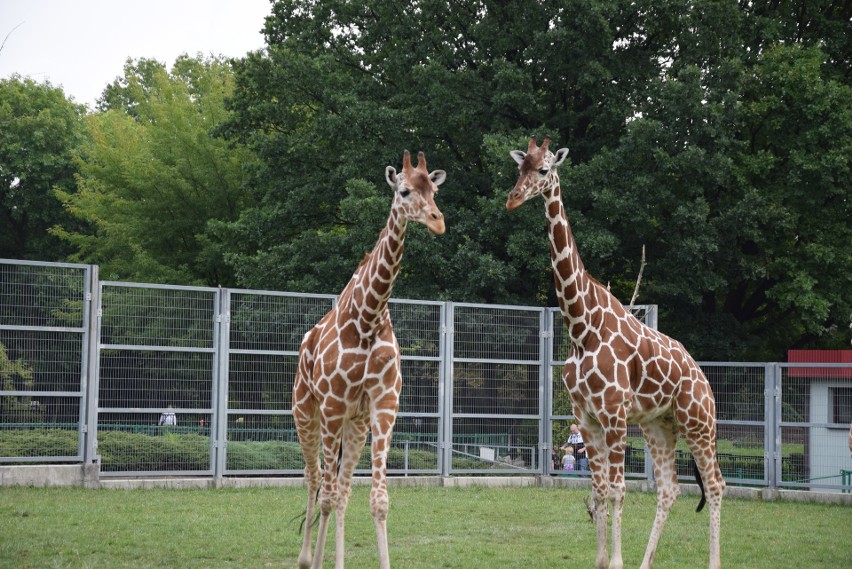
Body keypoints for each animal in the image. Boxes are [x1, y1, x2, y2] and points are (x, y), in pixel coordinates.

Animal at [292, 149, 446, 564]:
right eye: (404, 191)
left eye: (434, 191)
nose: (438, 221)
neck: (368, 317)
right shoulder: (332, 407)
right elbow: (326, 496)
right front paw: (317, 561)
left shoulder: (384, 406)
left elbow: (377, 500)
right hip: (306, 413)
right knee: (314, 480)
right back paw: (306, 558)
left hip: (355, 425)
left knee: (342, 490)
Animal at [506, 136, 724, 568]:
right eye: (519, 169)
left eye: (544, 170)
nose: (513, 198)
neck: (581, 326)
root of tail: (701, 375)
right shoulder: (586, 419)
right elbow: (599, 490)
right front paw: (603, 560)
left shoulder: (614, 414)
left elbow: (618, 490)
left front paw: (617, 562)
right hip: (660, 425)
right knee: (670, 488)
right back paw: (646, 562)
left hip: (699, 421)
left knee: (715, 484)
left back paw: (713, 562)